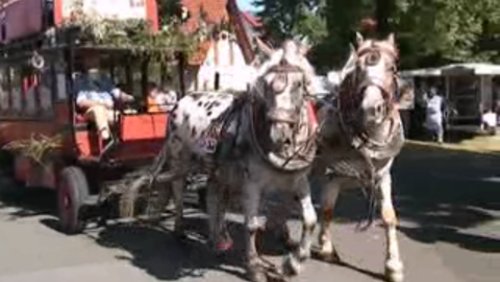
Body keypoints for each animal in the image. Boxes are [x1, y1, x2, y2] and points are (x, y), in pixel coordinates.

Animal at [123, 39, 318, 282]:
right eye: (266, 85)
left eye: (299, 84)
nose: (279, 135)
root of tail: (182, 99)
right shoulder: (252, 184)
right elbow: (251, 225)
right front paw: (254, 266)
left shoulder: (299, 181)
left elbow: (310, 220)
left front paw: (293, 263)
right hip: (180, 158)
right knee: (178, 188)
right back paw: (180, 229)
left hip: (216, 166)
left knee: (213, 194)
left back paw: (217, 239)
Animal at [312, 33, 406, 282]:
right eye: (358, 69)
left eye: (392, 68)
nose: (371, 109)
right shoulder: (333, 176)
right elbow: (327, 210)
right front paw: (326, 247)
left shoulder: (382, 176)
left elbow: (389, 216)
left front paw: (393, 266)